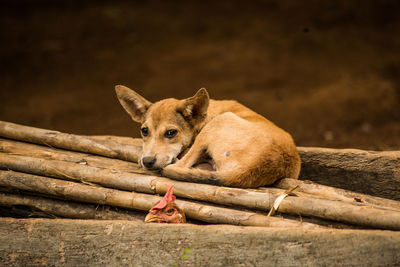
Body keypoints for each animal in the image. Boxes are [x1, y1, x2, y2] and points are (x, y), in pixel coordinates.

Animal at [115, 86, 300, 188]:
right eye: (144, 131)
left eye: (171, 133)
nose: (147, 161)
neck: (204, 117)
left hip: (218, 123)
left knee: (180, 165)